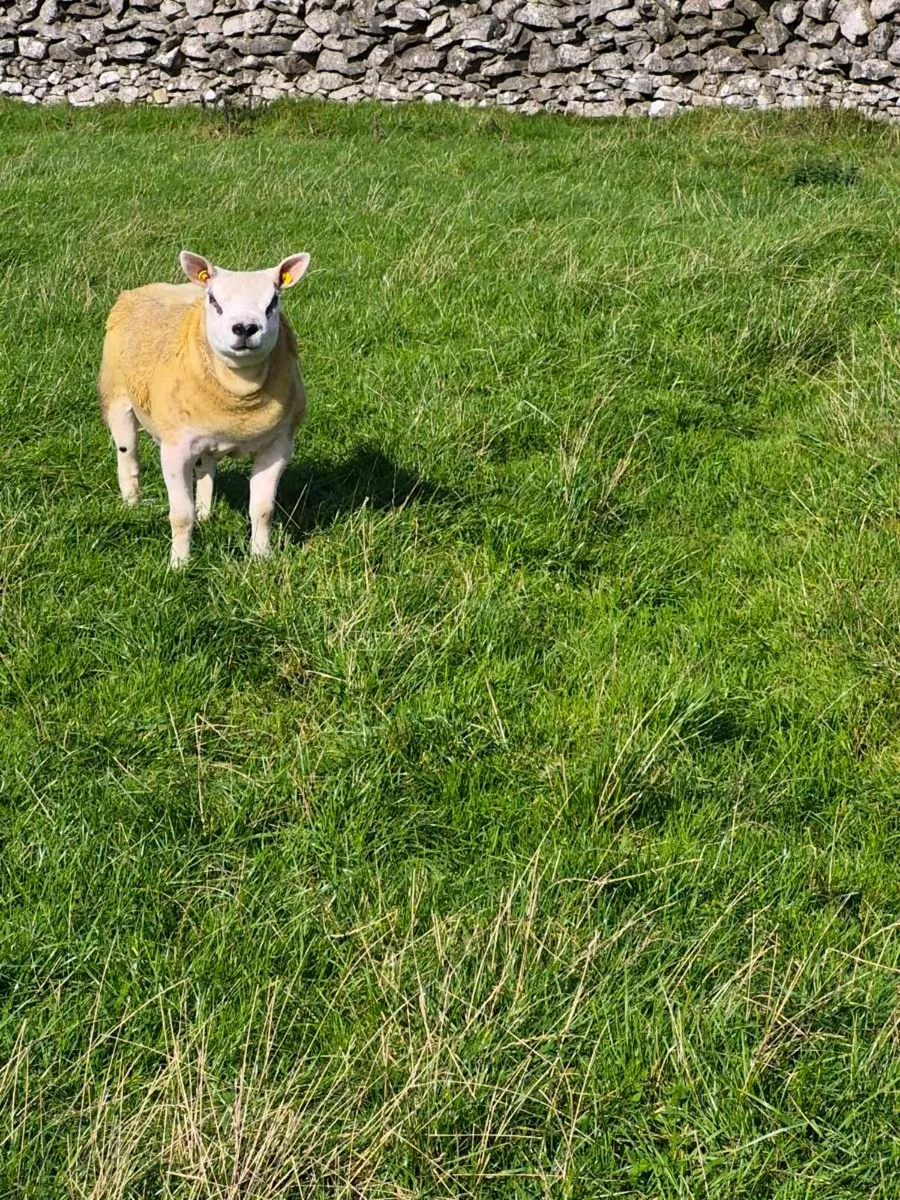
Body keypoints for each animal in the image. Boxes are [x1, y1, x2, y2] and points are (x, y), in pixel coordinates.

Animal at [98, 249, 310, 567]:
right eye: (214, 300)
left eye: (273, 301)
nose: (245, 328)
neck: (239, 396)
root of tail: (144, 288)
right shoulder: (174, 450)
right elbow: (180, 515)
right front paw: (179, 565)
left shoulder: (278, 446)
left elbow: (262, 509)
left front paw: (262, 557)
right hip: (118, 397)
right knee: (128, 457)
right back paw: (131, 504)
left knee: (206, 468)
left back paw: (206, 513)